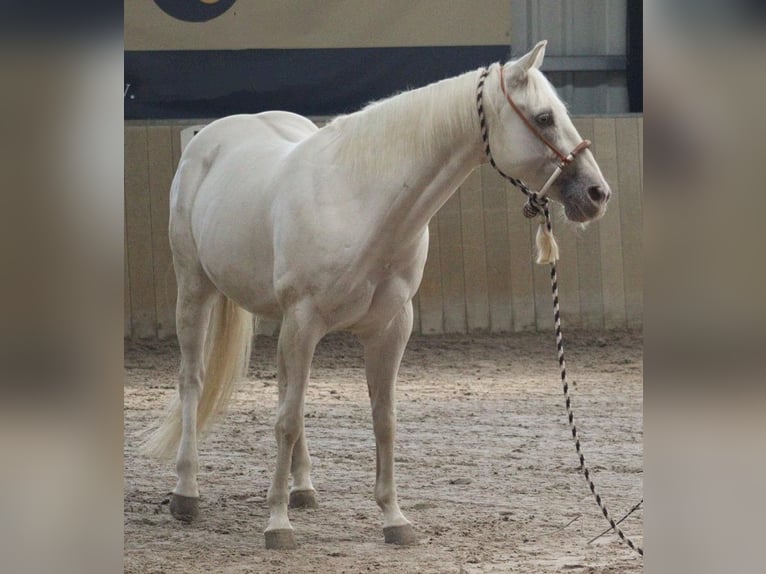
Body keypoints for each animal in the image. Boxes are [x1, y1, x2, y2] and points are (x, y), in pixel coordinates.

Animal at [141, 40, 611, 550]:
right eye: (544, 117)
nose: (597, 193)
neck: (362, 201)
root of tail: (207, 138)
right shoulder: (304, 319)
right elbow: (285, 420)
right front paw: (277, 524)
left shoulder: (388, 328)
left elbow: (380, 419)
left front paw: (393, 518)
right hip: (195, 290)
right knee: (194, 380)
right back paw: (186, 492)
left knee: (288, 391)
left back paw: (302, 488)